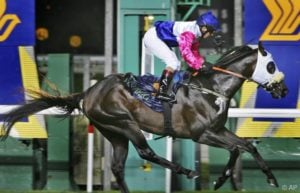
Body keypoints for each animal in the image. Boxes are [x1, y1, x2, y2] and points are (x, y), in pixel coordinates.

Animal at [2, 42, 288, 191]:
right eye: (271, 65)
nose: (283, 89)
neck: (212, 87)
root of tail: (88, 92)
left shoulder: (218, 129)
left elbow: (247, 146)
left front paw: (271, 178)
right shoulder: (202, 134)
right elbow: (235, 149)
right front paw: (220, 179)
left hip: (113, 132)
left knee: (118, 167)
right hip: (124, 122)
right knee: (145, 153)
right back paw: (186, 170)